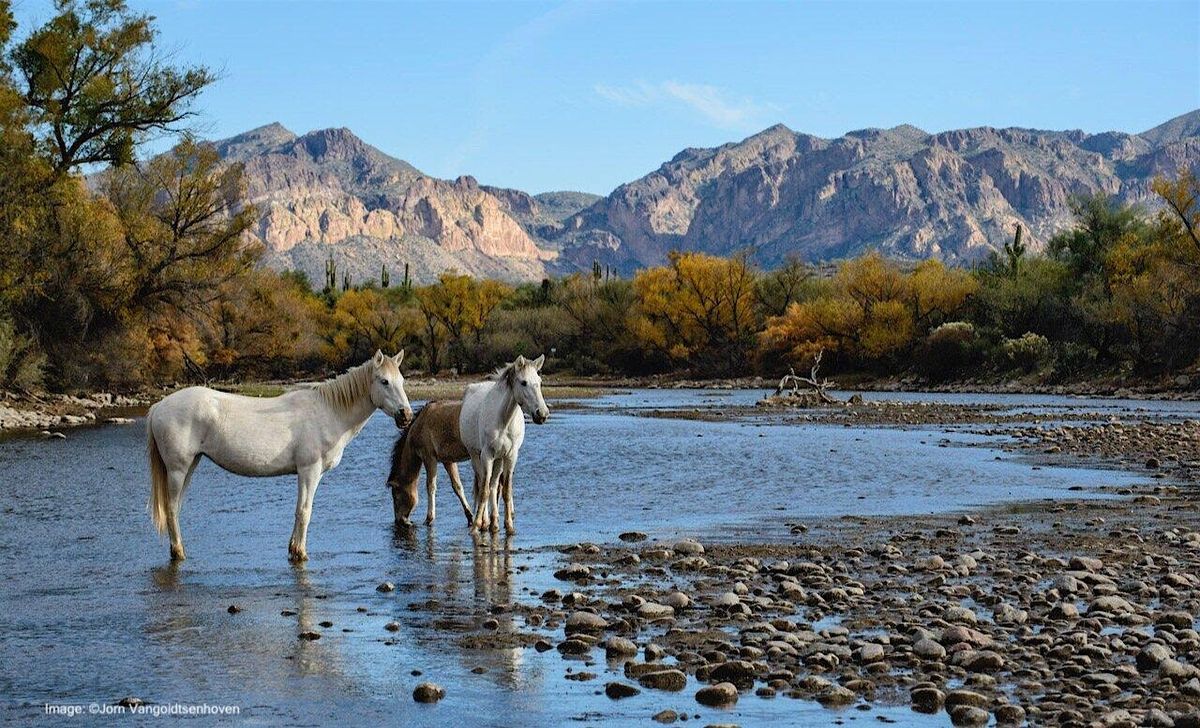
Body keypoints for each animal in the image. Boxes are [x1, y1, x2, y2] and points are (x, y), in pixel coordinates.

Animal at [146, 350, 412, 561]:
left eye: (401, 380)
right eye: (384, 381)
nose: (406, 415)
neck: (328, 412)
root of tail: (159, 407)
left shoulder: (311, 473)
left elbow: (300, 510)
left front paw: (293, 548)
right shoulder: (309, 471)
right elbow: (304, 511)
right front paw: (300, 553)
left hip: (191, 465)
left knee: (175, 508)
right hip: (178, 469)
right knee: (171, 508)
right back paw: (179, 553)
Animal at [460, 355, 549, 532]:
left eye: (540, 381)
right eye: (523, 382)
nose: (542, 414)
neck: (503, 420)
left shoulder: (510, 456)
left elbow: (506, 490)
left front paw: (509, 526)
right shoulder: (487, 455)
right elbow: (484, 491)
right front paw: (476, 525)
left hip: (499, 460)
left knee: (494, 486)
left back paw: (494, 522)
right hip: (475, 455)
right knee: (483, 484)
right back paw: (484, 522)